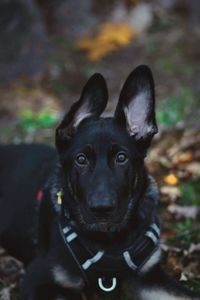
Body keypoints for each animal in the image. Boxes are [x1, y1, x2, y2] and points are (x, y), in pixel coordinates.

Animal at [0, 66, 200, 300]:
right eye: (81, 159)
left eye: (121, 158)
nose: (101, 209)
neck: (110, 240)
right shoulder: (36, 280)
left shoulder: (149, 278)